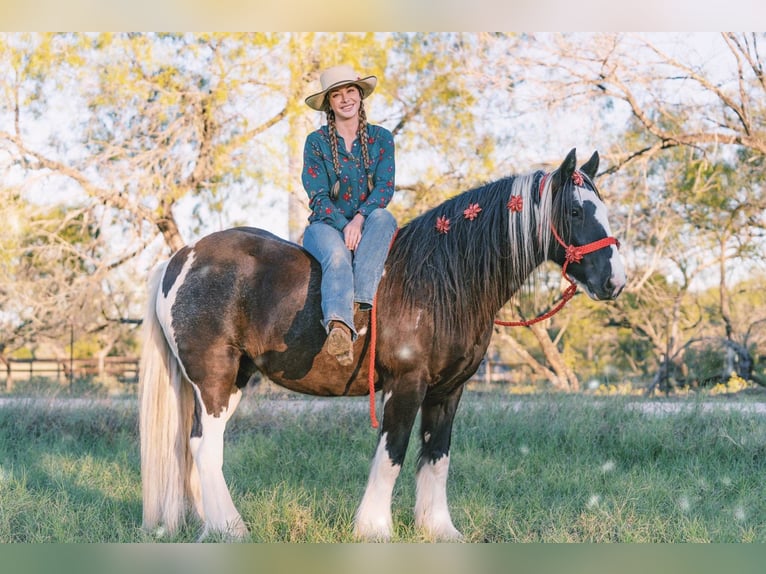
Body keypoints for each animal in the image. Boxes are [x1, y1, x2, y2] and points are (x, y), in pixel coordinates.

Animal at [140, 147, 632, 540]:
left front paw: (439, 529)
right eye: (576, 212)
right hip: (214, 378)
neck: (441, 280)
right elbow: (392, 453)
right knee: (205, 447)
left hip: (235, 379)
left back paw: (209, 524)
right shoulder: (406, 384)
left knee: (199, 446)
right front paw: (374, 529)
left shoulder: (448, 391)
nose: (615, 281)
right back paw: (231, 528)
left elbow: (436, 456)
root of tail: (182, 258)